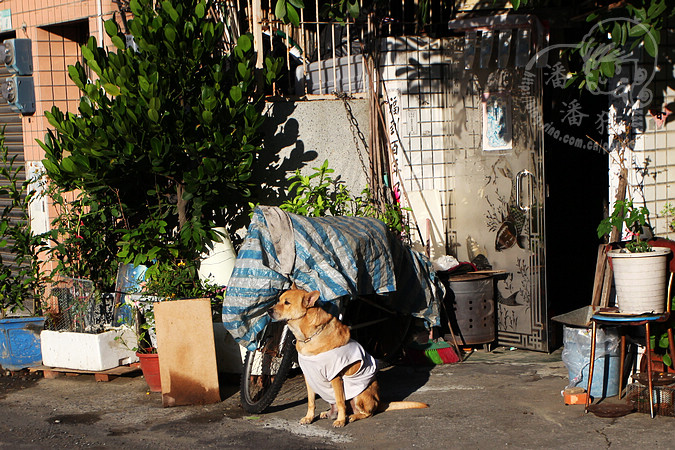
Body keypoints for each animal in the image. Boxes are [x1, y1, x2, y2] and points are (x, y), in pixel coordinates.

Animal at [270, 284, 428, 428]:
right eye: (279, 300)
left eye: (287, 303)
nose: (269, 310)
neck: (308, 337)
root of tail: (379, 402)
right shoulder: (309, 377)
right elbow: (311, 401)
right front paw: (309, 417)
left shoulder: (335, 377)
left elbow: (341, 402)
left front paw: (341, 420)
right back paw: (328, 413)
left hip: (359, 395)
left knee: (367, 413)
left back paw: (351, 416)